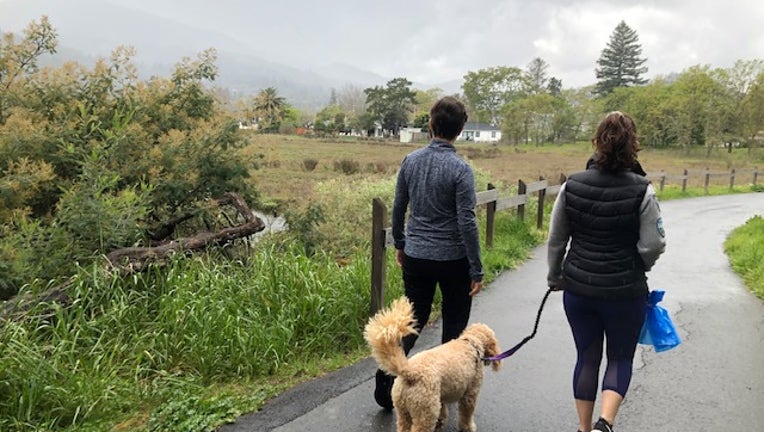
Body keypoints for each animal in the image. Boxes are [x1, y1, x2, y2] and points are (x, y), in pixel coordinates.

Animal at [364, 296, 502, 432]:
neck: (471, 343)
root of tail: (410, 371)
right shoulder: (470, 394)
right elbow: (466, 414)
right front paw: (468, 427)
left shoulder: (440, 397)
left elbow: (443, 409)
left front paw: (441, 421)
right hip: (426, 411)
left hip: (403, 410)